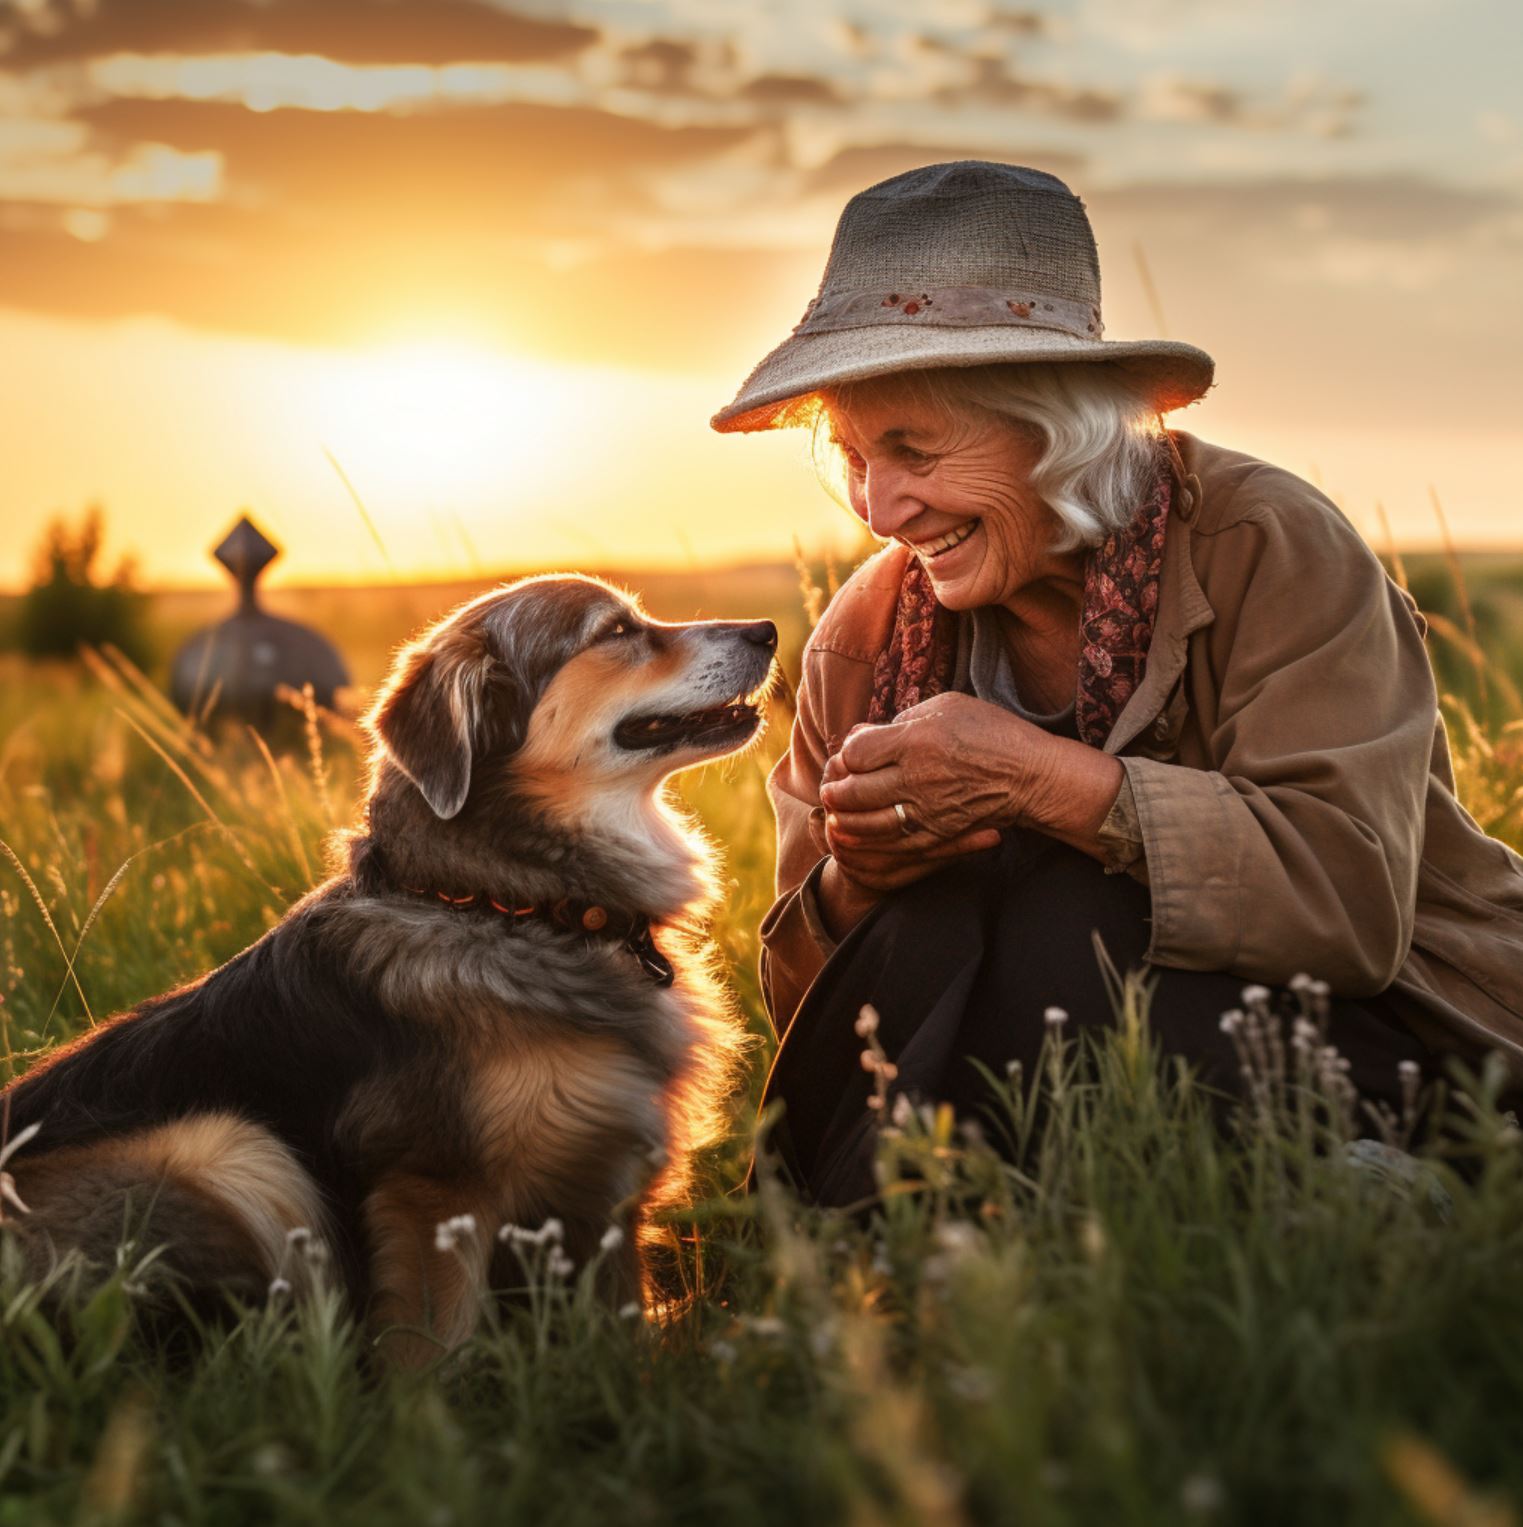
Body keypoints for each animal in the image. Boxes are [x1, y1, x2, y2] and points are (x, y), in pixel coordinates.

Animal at [0, 577, 779, 1368]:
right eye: (616, 632)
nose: (769, 631)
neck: (512, 906)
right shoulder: (432, 1190)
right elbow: (430, 1349)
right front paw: (437, 1403)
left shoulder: (610, 1176)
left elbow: (619, 1314)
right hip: (233, 1151)